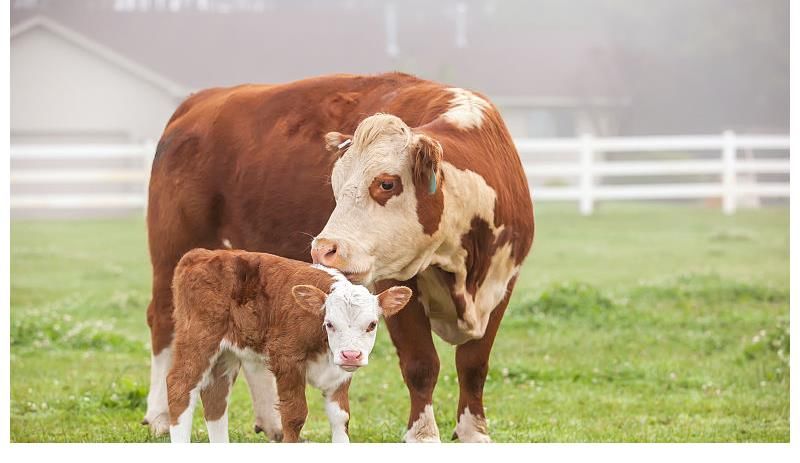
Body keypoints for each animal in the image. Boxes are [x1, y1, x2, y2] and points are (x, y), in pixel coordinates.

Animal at [164, 248, 412, 444]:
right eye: (330, 324)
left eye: (372, 324)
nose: (351, 355)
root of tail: (201, 254)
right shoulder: (286, 359)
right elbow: (294, 416)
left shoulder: (339, 374)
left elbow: (341, 417)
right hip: (198, 338)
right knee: (180, 385)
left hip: (226, 353)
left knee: (215, 395)